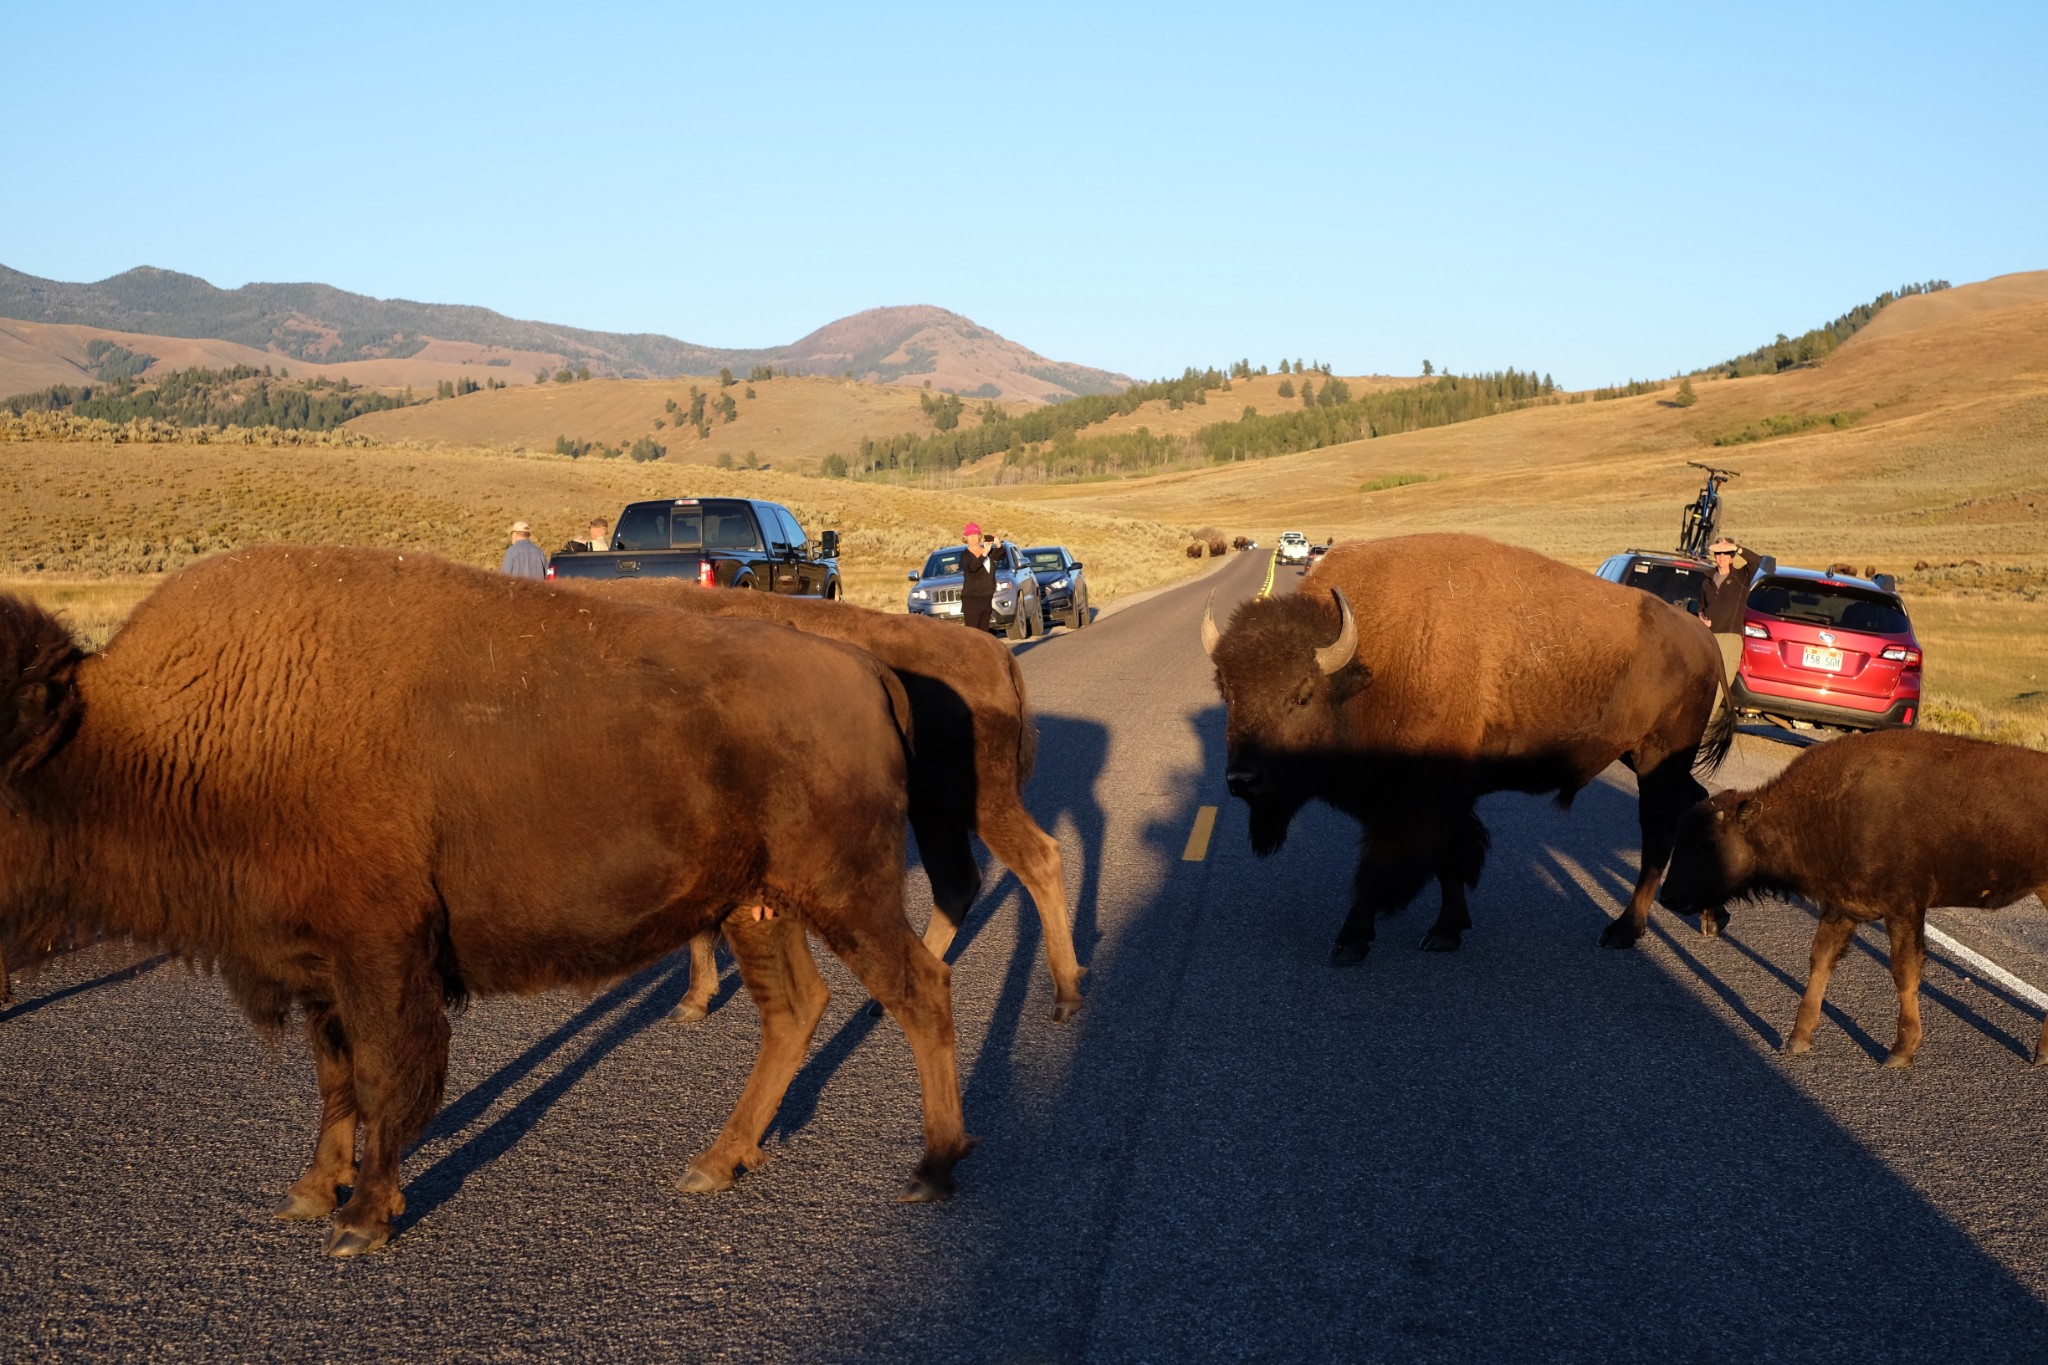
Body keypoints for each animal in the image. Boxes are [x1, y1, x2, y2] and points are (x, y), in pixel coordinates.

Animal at [0, 544, 974, 1260]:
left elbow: (387, 1076)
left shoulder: (380, 958)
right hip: (757, 906)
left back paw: (933, 1168)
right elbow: (335, 1078)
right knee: (795, 1010)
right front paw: (312, 1191)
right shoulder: (320, 967)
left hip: (849, 891)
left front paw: (363, 1218)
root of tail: (869, 670)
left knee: (919, 992)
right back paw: (715, 1162)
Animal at [557, 581, 1073, 1019]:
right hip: (934, 813)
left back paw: (1066, 994)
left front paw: (691, 1000)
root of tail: (993, 651)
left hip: (979, 801)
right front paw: (695, 999)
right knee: (956, 883)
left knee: (1038, 858)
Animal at [1204, 527, 1736, 965]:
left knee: (1657, 834)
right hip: (1649, 759)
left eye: (1302, 695)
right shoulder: (1440, 798)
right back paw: (1712, 915)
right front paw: (1446, 931)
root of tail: (1704, 639)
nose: (1242, 780)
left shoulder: (1418, 799)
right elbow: (1451, 861)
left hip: (1658, 762)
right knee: (1697, 802)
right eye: (1227, 692)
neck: (1368, 665)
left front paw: (1351, 939)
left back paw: (1624, 929)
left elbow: (1384, 866)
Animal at [1654, 732, 2048, 1072]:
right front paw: (1797, 1039)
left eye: (1707, 844)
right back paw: (2041, 1054)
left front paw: (1900, 1052)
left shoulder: (1904, 909)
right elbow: (1820, 961)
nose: (1668, 896)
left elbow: (1903, 972)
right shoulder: (1841, 908)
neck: (1824, 807)